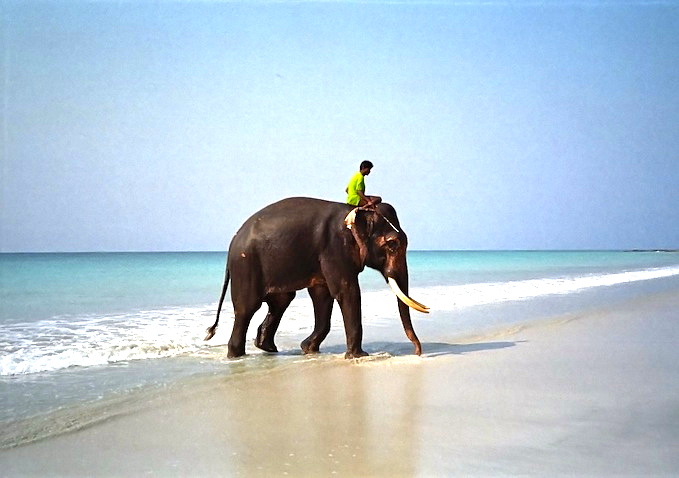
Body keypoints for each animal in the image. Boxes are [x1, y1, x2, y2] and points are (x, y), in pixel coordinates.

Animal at [204, 197, 429, 359]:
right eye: (392, 244)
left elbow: (322, 295)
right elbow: (346, 291)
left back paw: (267, 347)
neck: (356, 210)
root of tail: (232, 243)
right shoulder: (334, 249)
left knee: (281, 301)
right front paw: (359, 356)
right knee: (247, 307)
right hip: (246, 266)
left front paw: (308, 349)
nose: (417, 352)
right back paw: (236, 355)